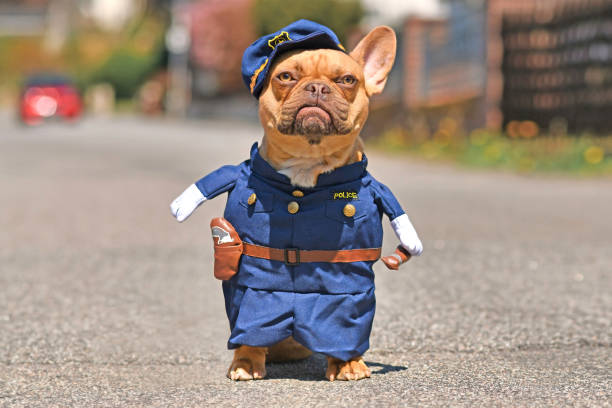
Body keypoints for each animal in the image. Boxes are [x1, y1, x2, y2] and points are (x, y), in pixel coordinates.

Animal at [170, 20, 424, 380]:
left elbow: (345, 319)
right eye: (286, 76)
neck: (307, 165)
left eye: (348, 80)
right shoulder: (252, 281)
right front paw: (246, 362)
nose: (316, 87)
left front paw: (348, 363)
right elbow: (250, 314)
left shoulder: (348, 285)